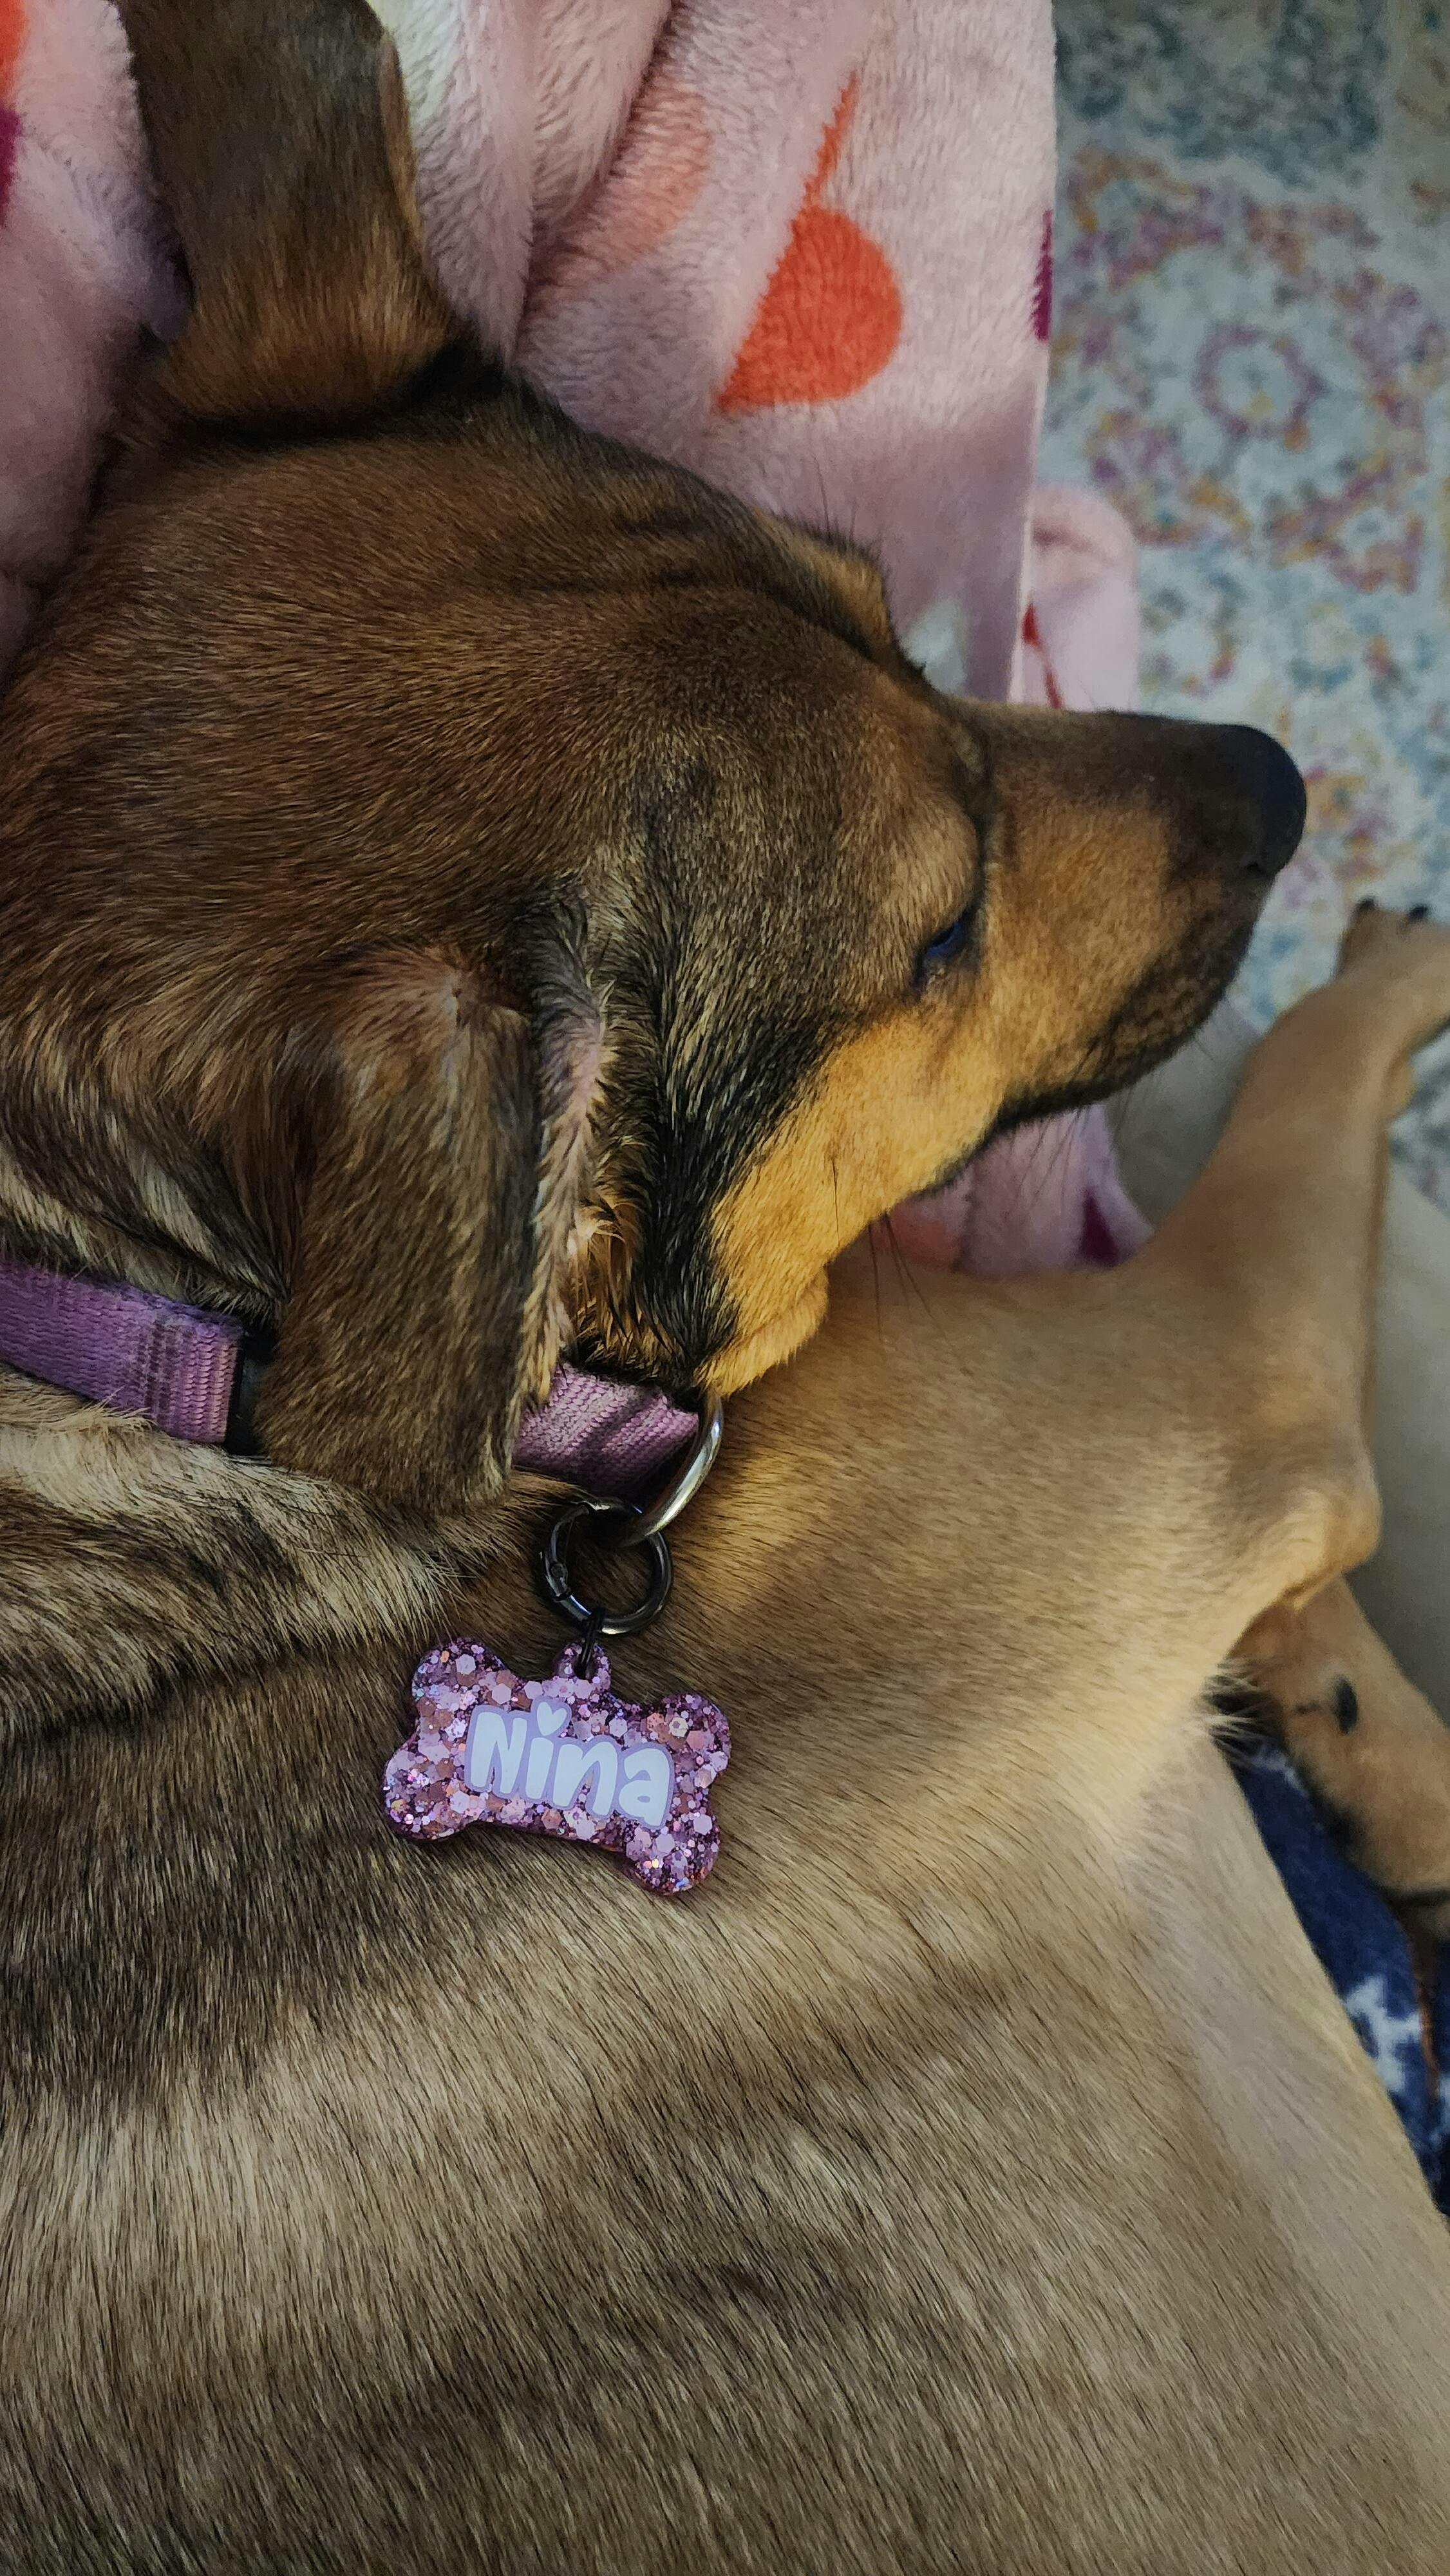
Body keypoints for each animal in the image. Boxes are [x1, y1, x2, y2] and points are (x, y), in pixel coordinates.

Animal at [3, 4, 1450, 2565]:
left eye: (888, 604)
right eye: (936, 937)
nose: (1286, 780)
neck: (133, 1316)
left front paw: (1378, 1745)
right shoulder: (1207, 1383)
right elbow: (1297, 1123)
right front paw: (1404, 957)